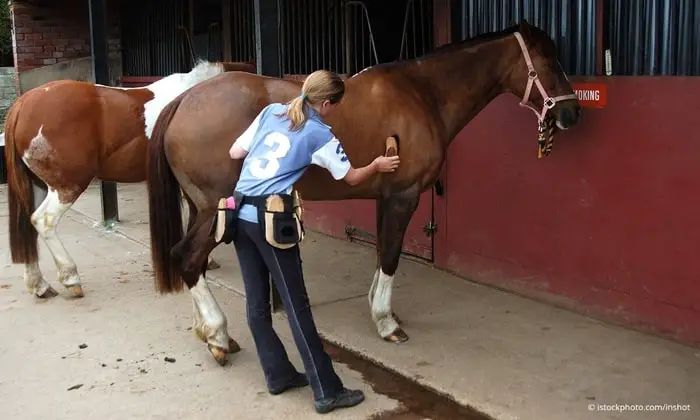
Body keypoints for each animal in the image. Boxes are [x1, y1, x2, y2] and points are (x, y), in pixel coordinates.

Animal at [3, 60, 254, 302]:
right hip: (67, 186)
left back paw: (39, 285)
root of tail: (23, 103)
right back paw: (71, 278)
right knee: (43, 220)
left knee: (28, 224)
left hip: (37, 186)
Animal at [146, 21, 580, 366]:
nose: (572, 113)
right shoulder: (404, 195)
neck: (422, 93)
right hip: (216, 210)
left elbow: (382, 252)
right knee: (187, 258)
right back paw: (218, 335)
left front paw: (378, 308)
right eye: (548, 61)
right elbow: (390, 255)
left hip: (200, 208)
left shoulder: (384, 197)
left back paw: (208, 330)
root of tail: (184, 99)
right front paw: (387, 323)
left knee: (195, 263)